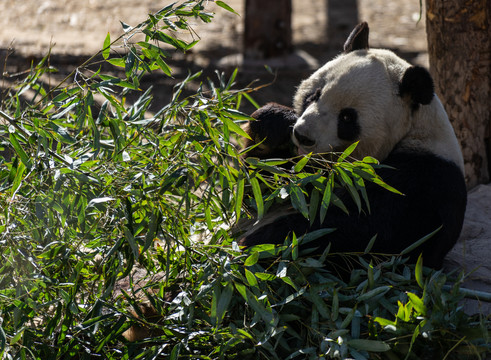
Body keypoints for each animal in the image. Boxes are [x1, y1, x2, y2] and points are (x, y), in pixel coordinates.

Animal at [240, 21, 468, 270]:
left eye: (347, 118)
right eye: (314, 95)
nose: (303, 136)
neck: (413, 130)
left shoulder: (425, 180)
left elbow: (364, 231)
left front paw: (261, 245)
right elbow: (262, 192)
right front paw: (273, 124)